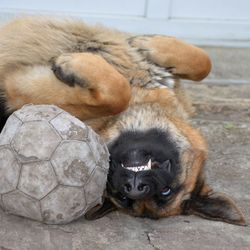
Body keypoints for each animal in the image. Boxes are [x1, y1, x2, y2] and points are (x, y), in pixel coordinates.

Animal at [0, 17, 246, 225]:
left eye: (165, 192)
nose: (135, 187)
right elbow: (204, 62)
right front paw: (148, 42)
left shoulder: (20, 91)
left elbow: (118, 92)